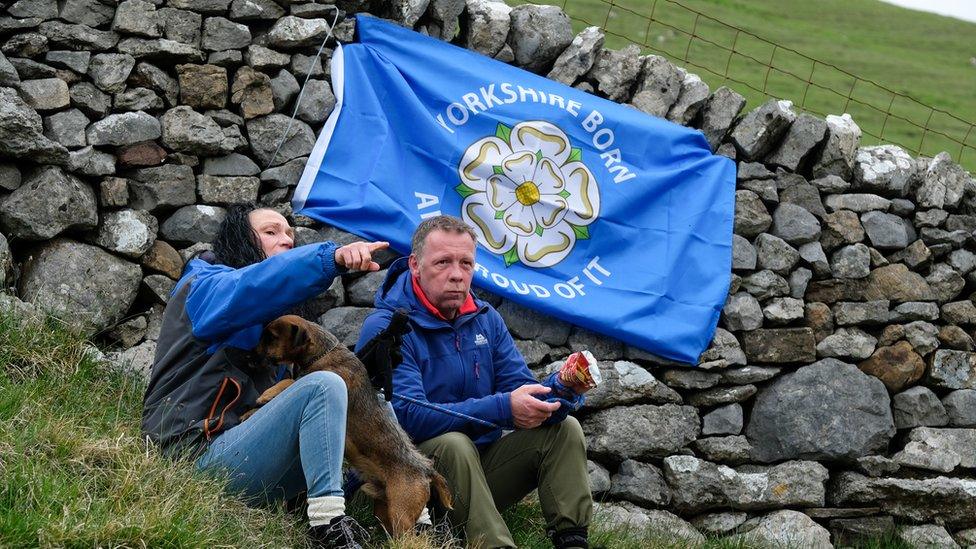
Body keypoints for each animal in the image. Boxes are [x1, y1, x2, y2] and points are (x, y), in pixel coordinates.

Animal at [250, 312, 452, 536]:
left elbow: (290, 382)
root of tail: (426, 469)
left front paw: (267, 393)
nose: (251, 355)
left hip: (402, 515)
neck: (324, 354)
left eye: (271, 337)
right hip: (386, 511)